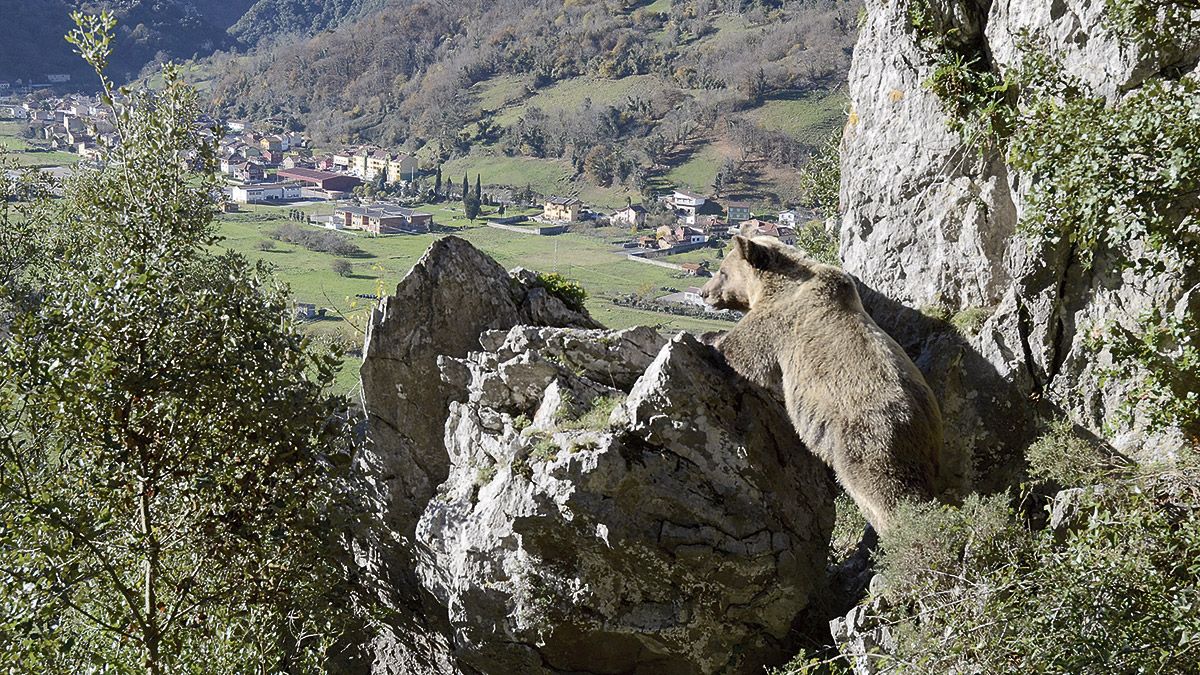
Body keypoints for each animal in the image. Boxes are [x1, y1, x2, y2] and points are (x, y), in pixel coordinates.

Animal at [700, 234, 945, 533]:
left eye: (722, 272)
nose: (704, 293)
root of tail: (922, 423)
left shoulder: (779, 322)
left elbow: (745, 353)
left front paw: (709, 337)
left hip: (866, 442)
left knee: (885, 495)